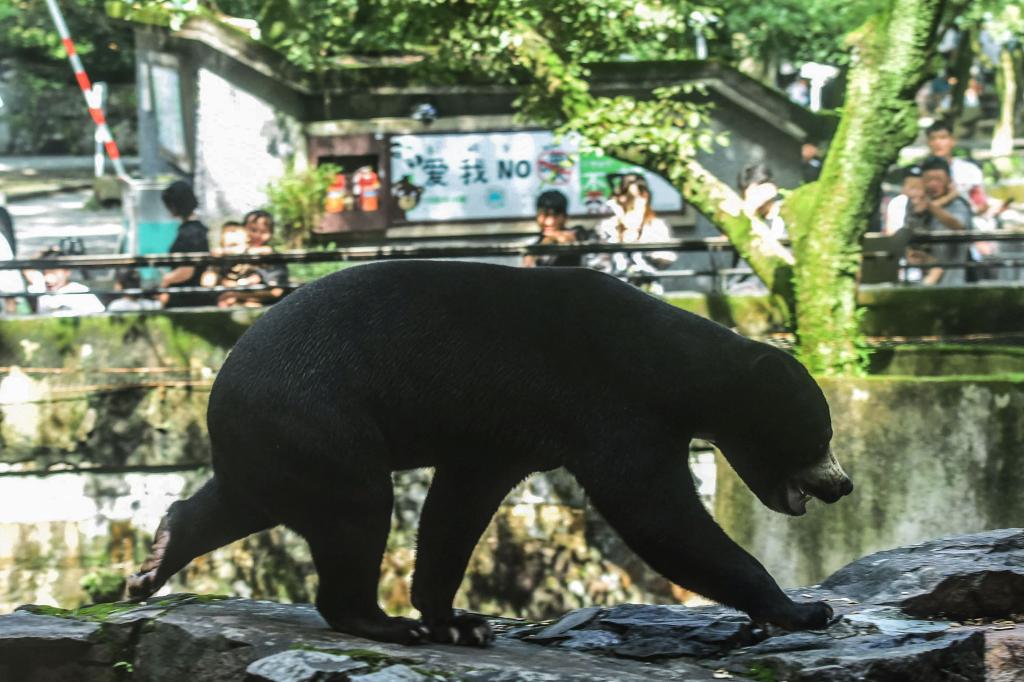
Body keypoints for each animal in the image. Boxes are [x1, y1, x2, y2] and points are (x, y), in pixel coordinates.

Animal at [128, 259, 851, 643]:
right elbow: (656, 513)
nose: (842, 484)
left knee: (238, 501)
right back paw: (378, 621)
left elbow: (459, 505)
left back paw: (155, 559)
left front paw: (457, 617)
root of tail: (219, 383)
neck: (677, 365)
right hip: (320, 417)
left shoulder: (501, 435)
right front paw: (801, 607)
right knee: (356, 509)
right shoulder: (614, 406)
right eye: (820, 436)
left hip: (276, 441)